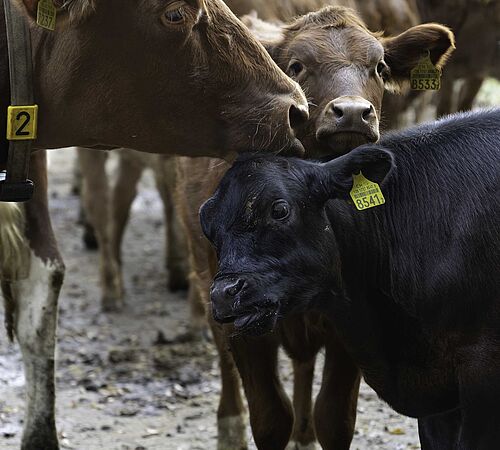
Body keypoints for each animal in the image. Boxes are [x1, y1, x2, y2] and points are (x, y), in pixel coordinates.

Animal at [174, 7, 456, 450]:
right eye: (296, 66)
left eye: (378, 67)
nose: (353, 111)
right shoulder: (243, 322)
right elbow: (270, 417)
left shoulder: (352, 322)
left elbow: (334, 417)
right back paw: (230, 425)